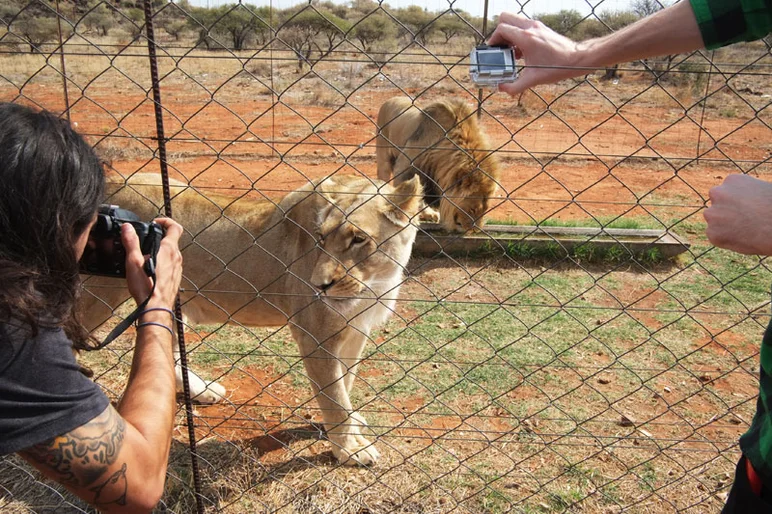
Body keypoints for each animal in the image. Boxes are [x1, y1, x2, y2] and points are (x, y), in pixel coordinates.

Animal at [78, 173, 424, 466]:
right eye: (321, 238)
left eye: (359, 238)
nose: (319, 285)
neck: (375, 283)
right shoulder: (314, 336)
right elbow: (334, 396)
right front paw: (350, 450)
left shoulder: (354, 332)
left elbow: (346, 380)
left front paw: (352, 425)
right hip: (99, 293)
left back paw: (203, 390)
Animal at [376, 96, 501, 232]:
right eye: (472, 209)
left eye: (486, 210)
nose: (474, 231)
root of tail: (393, 98)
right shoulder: (405, 167)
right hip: (383, 156)